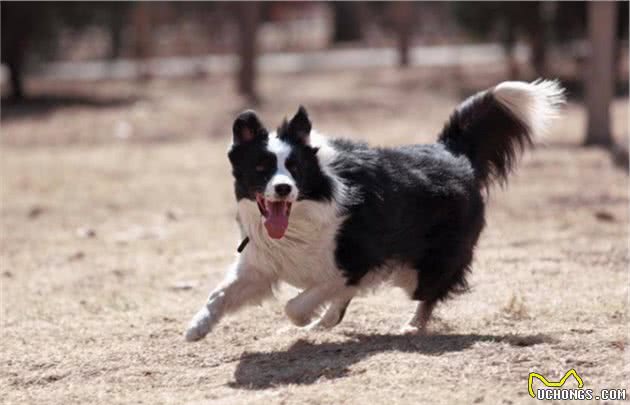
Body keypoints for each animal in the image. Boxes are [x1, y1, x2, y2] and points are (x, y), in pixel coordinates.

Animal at [185, 78, 564, 338]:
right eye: (261, 168)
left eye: (295, 168)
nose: (282, 188)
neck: (305, 211)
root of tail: (451, 151)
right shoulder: (262, 265)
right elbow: (219, 294)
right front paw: (197, 327)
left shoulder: (354, 260)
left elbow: (297, 304)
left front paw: (305, 316)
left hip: (423, 268)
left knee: (427, 294)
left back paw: (411, 326)